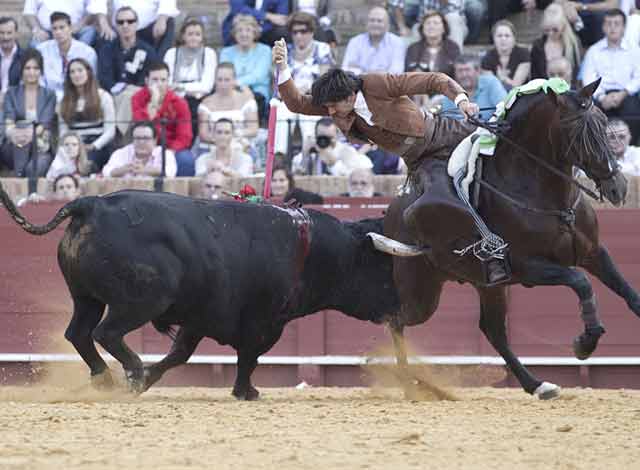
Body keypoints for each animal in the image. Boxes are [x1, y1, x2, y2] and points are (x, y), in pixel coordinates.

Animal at [378, 81, 632, 400]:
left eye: (603, 123)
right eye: (578, 132)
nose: (618, 187)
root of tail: (394, 208)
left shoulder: (594, 253)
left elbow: (627, 291)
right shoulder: (529, 267)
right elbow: (581, 282)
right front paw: (584, 344)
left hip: (487, 286)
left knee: (493, 331)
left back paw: (538, 385)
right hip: (420, 292)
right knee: (395, 319)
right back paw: (410, 385)